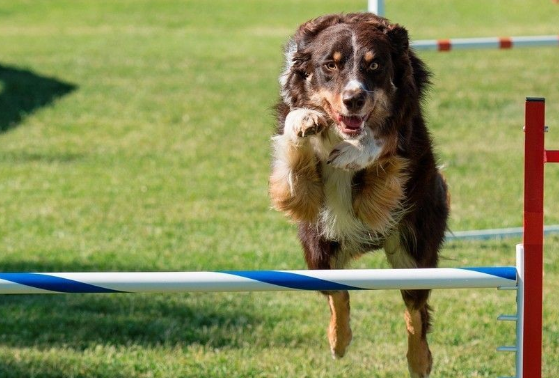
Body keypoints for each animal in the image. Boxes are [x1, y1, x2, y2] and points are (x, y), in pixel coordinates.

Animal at [270, 12, 448, 378]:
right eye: (330, 65)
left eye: (375, 65)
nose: (354, 99)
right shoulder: (300, 194)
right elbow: (294, 140)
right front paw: (305, 120)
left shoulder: (404, 142)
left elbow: (385, 141)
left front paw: (355, 150)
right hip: (318, 249)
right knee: (338, 294)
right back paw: (339, 341)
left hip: (413, 252)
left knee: (416, 310)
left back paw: (419, 361)